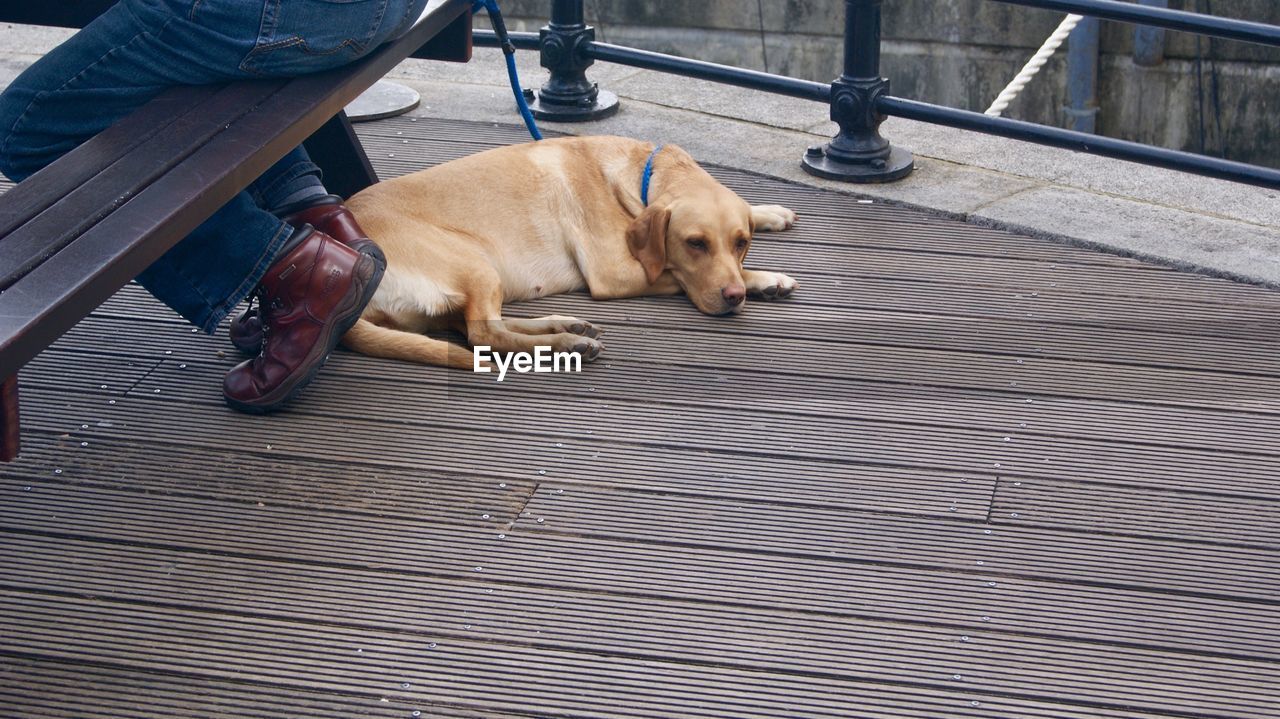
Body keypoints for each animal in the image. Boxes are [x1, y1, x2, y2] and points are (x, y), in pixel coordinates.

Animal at [340, 136, 798, 365]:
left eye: (740, 242)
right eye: (695, 243)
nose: (733, 297)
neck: (641, 176)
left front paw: (769, 214)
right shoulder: (615, 273)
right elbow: (674, 272)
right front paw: (763, 277)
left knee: (479, 325)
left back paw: (566, 328)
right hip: (475, 261)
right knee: (483, 336)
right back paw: (564, 344)